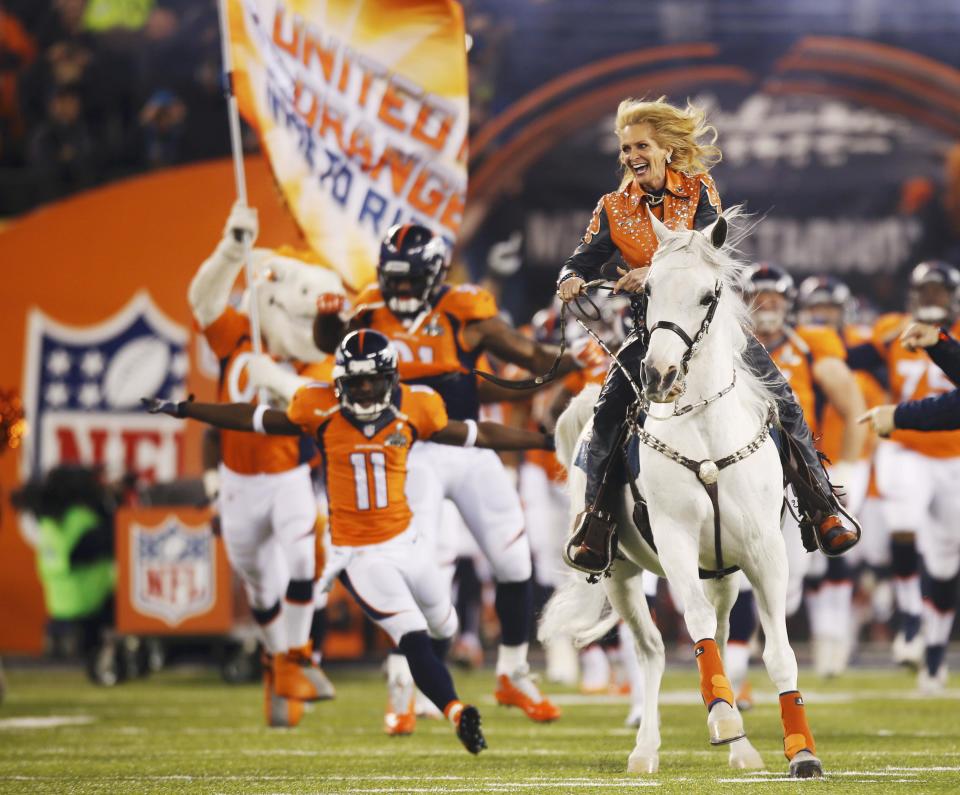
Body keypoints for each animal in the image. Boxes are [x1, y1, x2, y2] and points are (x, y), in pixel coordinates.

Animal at [540, 208, 824, 780]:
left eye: (707, 294)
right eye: (647, 290)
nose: (658, 374)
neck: (706, 434)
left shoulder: (764, 551)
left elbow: (778, 651)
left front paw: (801, 752)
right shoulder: (675, 542)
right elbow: (693, 626)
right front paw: (723, 719)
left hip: (724, 573)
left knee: (721, 627)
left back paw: (742, 750)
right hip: (621, 573)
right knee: (651, 649)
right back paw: (648, 749)